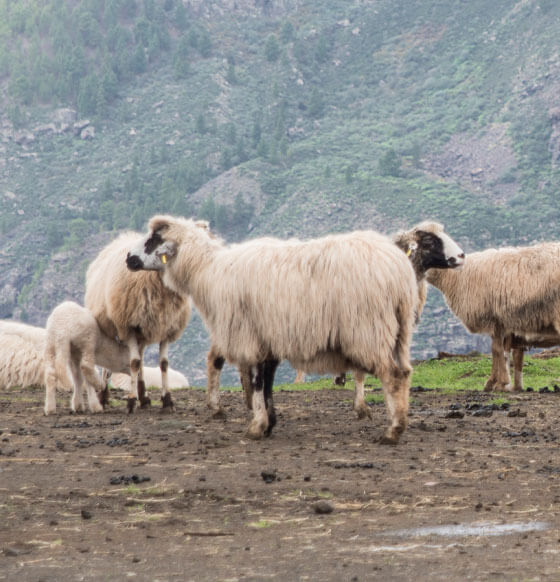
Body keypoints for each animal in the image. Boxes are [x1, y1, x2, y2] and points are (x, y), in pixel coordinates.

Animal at [124, 217, 462, 444]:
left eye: (153, 239)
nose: (128, 258)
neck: (206, 270)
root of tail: (397, 270)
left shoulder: (251, 335)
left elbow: (258, 382)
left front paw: (257, 425)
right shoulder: (269, 337)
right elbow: (267, 382)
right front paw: (269, 422)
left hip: (368, 328)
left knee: (391, 375)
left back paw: (393, 431)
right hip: (399, 333)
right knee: (404, 372)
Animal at [426, 242, 560, 392]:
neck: (455, 277)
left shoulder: (494, 320)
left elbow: (497, 350)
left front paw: (497, 383)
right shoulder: (503, 325)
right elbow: (505, 354)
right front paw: (506, 384)